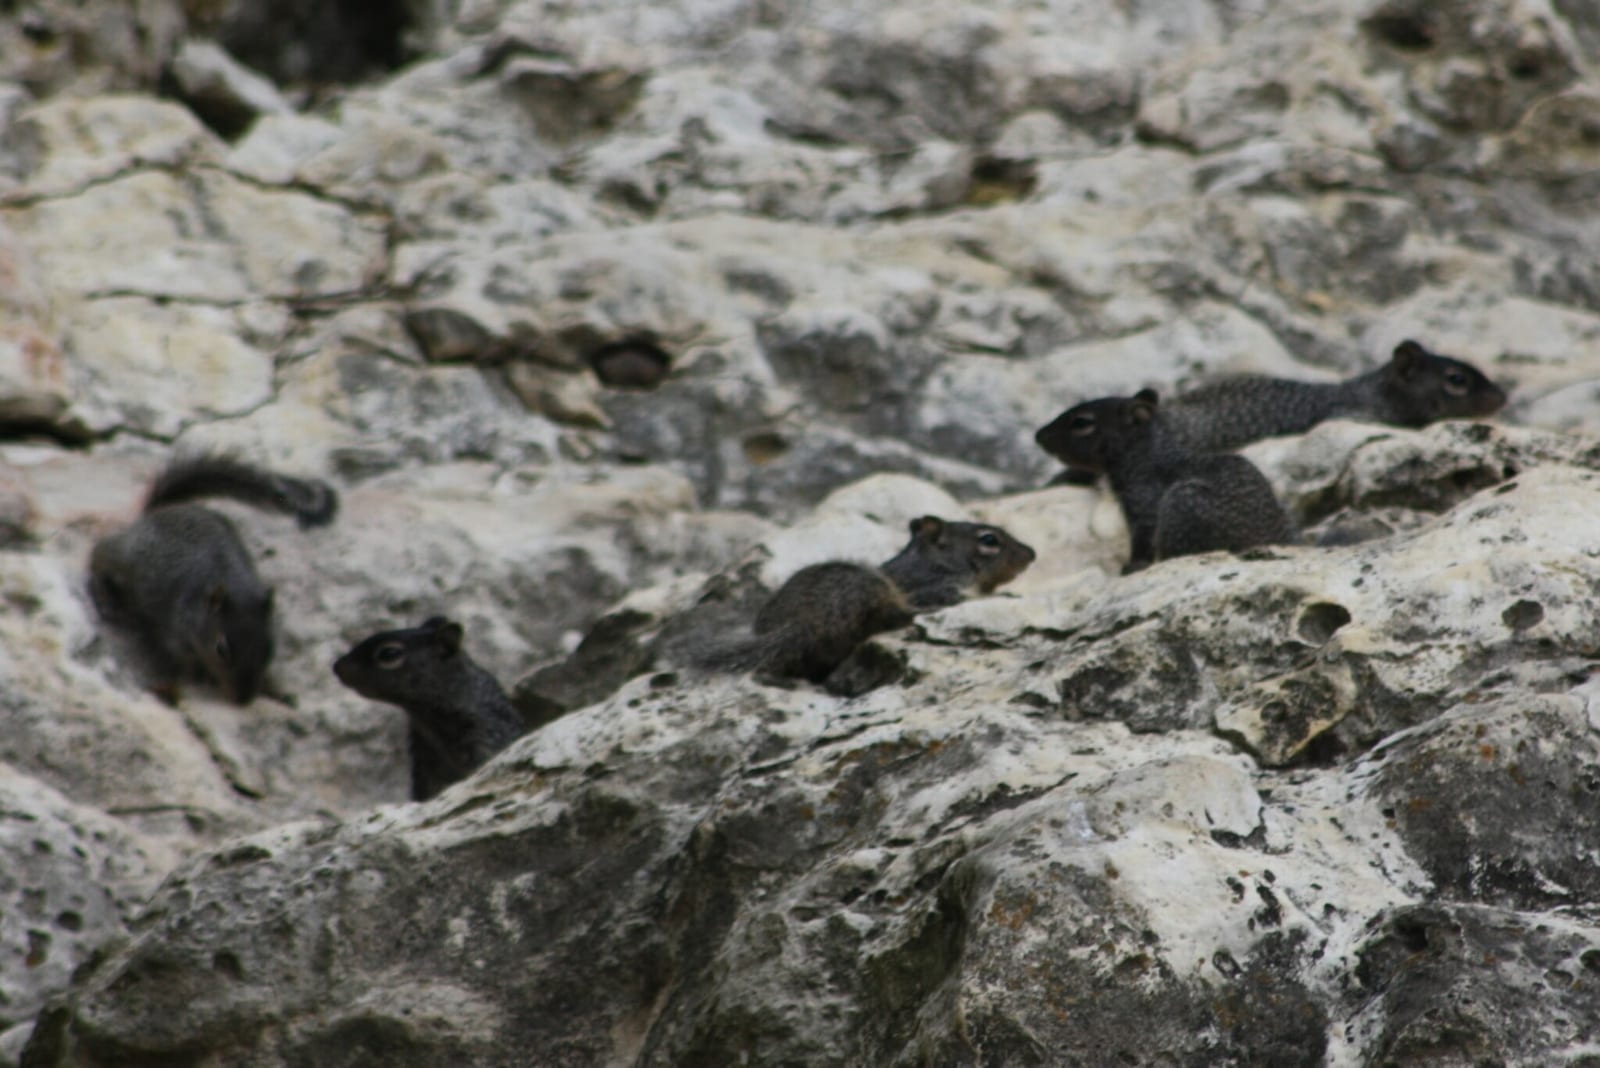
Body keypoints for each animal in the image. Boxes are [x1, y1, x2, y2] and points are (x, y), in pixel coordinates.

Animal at [88, 455, 339, 704]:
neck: (234, 586)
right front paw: (200, 677)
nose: (243, 699)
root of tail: (163, 509)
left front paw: (272, 687)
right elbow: (184, 660)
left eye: (269, 649)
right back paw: (105, 598)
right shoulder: (176, 630)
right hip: (128, 559)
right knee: (101, 553)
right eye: (221, 649)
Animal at [689, 516, 1036, 683]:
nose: (1032, 554)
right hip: (862, 590)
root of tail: (797, 624)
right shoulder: (937, 588)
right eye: (989, 539)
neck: (937, 565)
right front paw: (1006, 593)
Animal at [1035, 389, 1295, 574]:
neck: (1148, 455)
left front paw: (1132, 567)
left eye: (1081, 422)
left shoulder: (1143, 505)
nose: (1038, 435)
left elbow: (1142, 542)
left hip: (1182, 503)